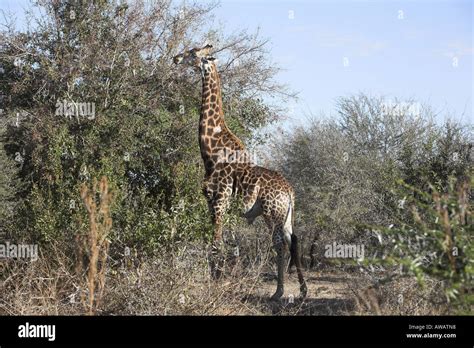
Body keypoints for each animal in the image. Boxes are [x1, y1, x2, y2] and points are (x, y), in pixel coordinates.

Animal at [174, 43, 308, 300]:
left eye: (193, 53)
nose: (175, 58)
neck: (211, 149)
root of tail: (290, 191)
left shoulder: (218, 200)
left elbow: (216, 243)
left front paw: (215, 284)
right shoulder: (218, 205)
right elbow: (228, 244)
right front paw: (220, 280)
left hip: (272, 213)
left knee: (280, 244)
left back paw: (281, 292)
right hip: (284, 215)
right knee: (291, 240)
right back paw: (297, 290)